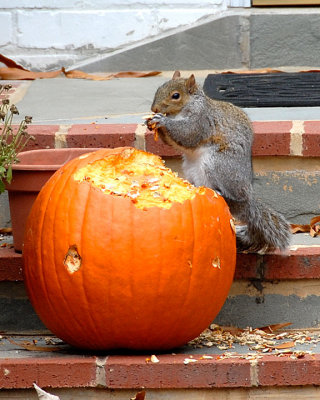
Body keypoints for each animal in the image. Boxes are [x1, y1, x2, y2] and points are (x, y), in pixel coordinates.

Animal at [146, 71, 292, 253]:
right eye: (159, 88)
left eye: (175, 96)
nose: (154, 109)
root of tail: (247, 200)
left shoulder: (201, 120)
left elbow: (187, 134)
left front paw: (162, 121)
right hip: (191, 168)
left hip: (218, 164)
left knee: (230, 195)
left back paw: (219, 192)